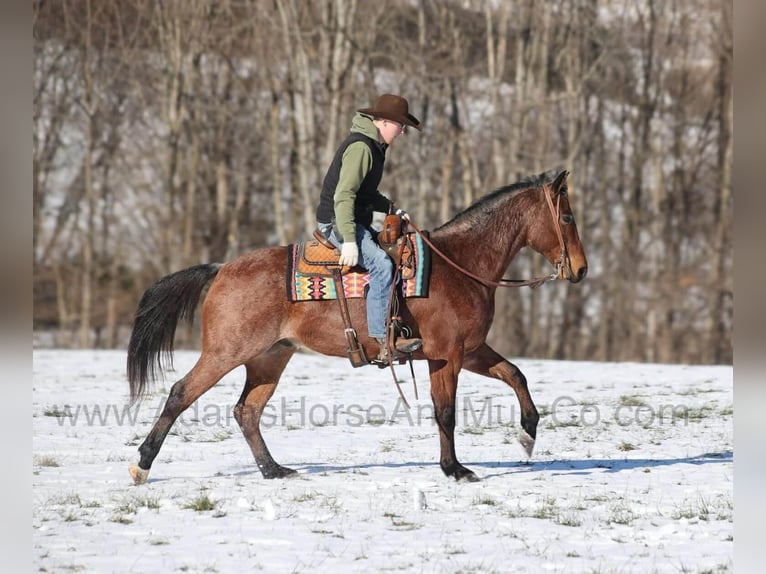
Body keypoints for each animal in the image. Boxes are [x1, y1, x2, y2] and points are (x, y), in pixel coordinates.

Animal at [129, 169, 592, 484]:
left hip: (269, 358)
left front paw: (528, 434)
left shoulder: (472, 349)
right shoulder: (447, 355)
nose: (582, 269)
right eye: (568, 218)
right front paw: (455, 469)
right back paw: (142, 464)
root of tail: (221, 268)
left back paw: (274, 469)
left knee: (247, 411)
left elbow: (515, 374)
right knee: (181, 393)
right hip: (227, 352)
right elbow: (445, 412)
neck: (460, 264)